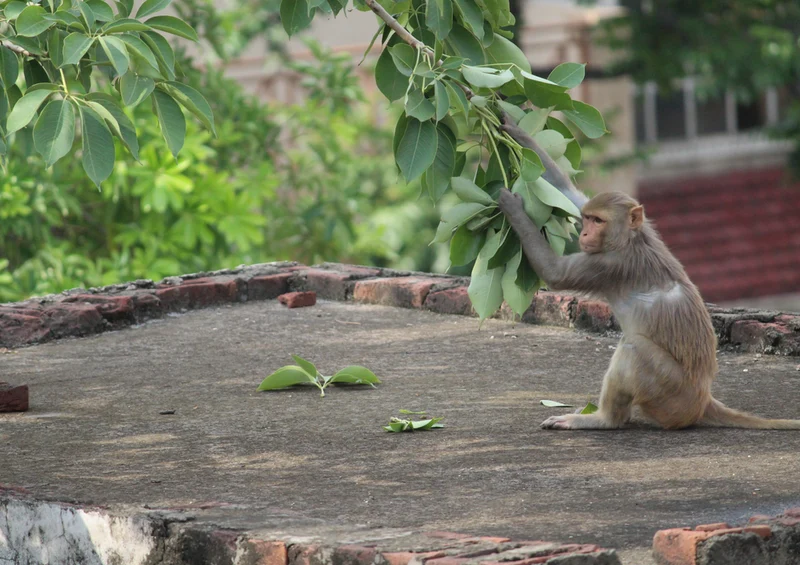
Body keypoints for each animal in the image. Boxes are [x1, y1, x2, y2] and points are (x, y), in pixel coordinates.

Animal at [495, 186, 800, 431]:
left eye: (598, 221)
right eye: (587, 217)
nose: (584, 232)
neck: (631, 239)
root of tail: (703, 400)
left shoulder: (610, 264)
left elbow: (555, 273)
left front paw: (512, 206)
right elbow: (567, 189)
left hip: (672, 395)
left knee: (634, 348)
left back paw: (604, 420)